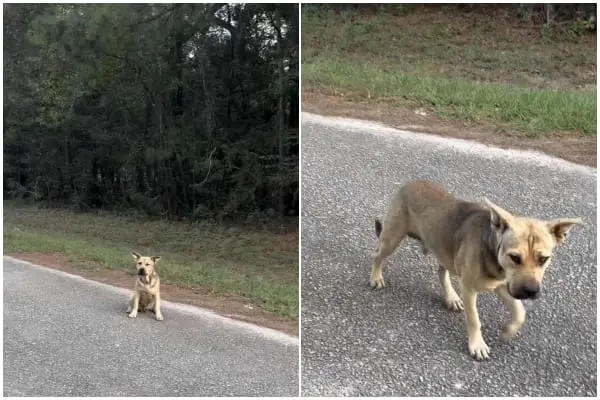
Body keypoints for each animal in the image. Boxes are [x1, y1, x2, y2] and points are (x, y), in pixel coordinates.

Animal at [370, 180, 580, 360]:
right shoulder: (470, 288)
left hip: (445, 249)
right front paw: (477, 345)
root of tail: (409, 183)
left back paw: (451, 297)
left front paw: (507, 331)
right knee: (377, 255)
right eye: (514, 257)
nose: (530, 291)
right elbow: (474, 319)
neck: (492, 247)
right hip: (392, 238)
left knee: (441, 271)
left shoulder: (503, 285)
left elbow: (520, 313)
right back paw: (375, 277)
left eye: (543, 259)